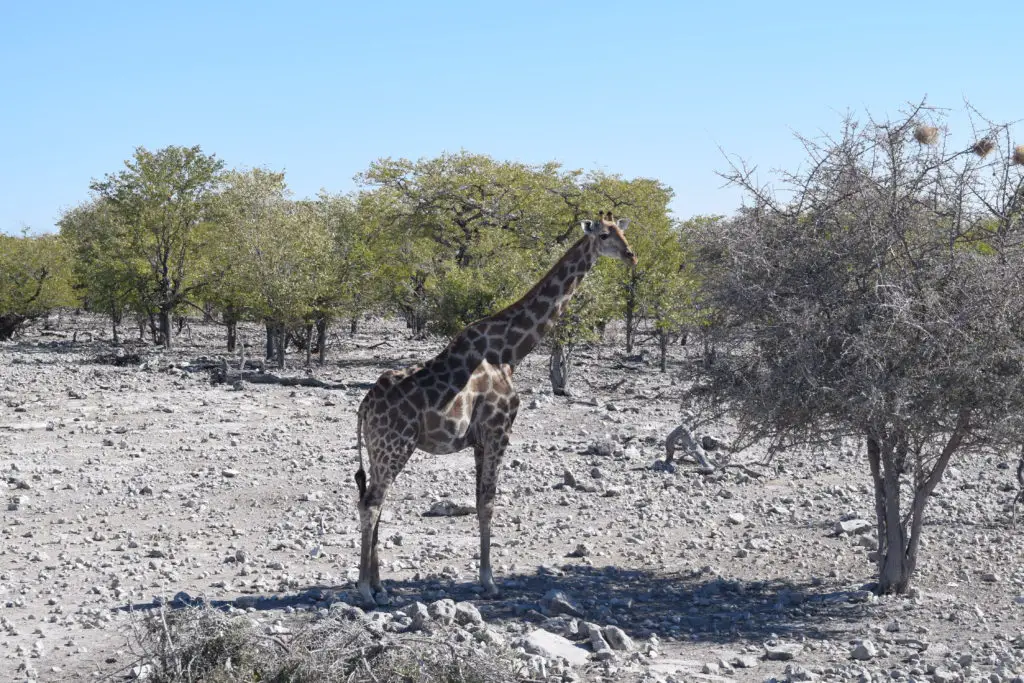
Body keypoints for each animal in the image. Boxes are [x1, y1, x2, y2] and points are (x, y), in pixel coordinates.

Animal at [356, 210, 634, 606]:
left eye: (624, 232)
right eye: (606, 235)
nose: (631, 256)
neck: (509, 352)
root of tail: (364, 406)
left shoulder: (479, 439)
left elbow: (478, 500)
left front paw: (485, 577)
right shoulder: (499, 429)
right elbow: (488, 501)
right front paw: (489, 581)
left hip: (379, 449)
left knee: (373, 500)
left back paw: (380, 586)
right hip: (394, 445)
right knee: (371, 503)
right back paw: (365, 589)